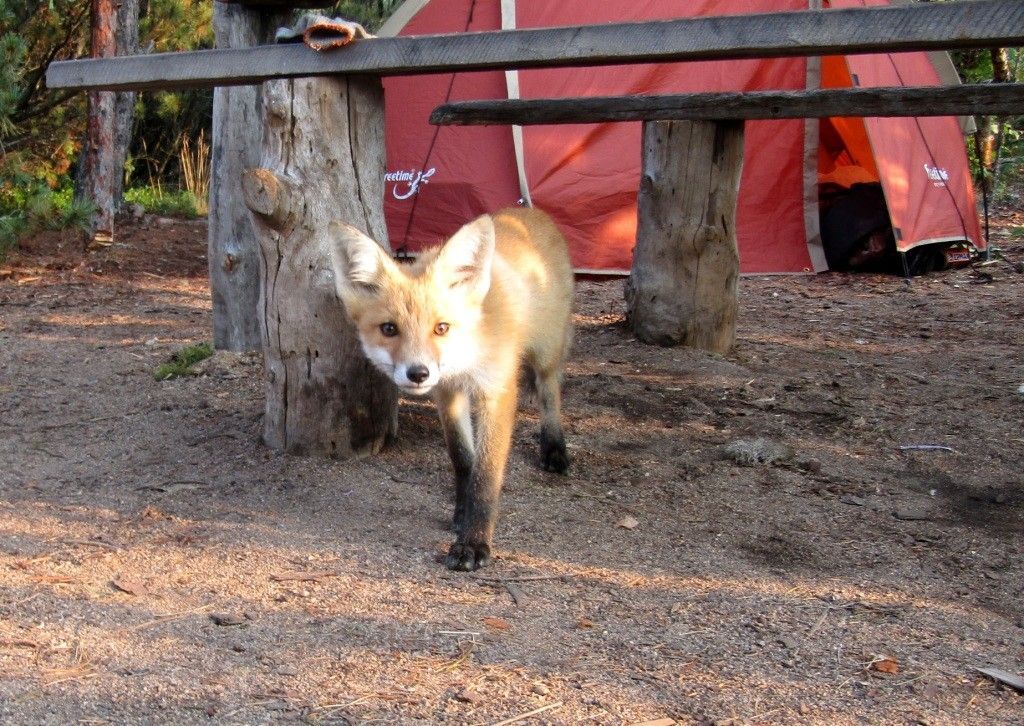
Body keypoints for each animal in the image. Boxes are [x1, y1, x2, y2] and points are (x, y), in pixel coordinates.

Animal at [329, 206, 577, 569]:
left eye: (441, 328)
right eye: (389, 329)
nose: (418, 373)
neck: (469, 352)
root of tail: (528, 210)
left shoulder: (497, 390)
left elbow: (486, 475)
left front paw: (474, 542)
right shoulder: (447, 392)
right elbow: (462, 458)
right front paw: (462, 512)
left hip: (545, 353)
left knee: (550, 394)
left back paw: (554, 448)